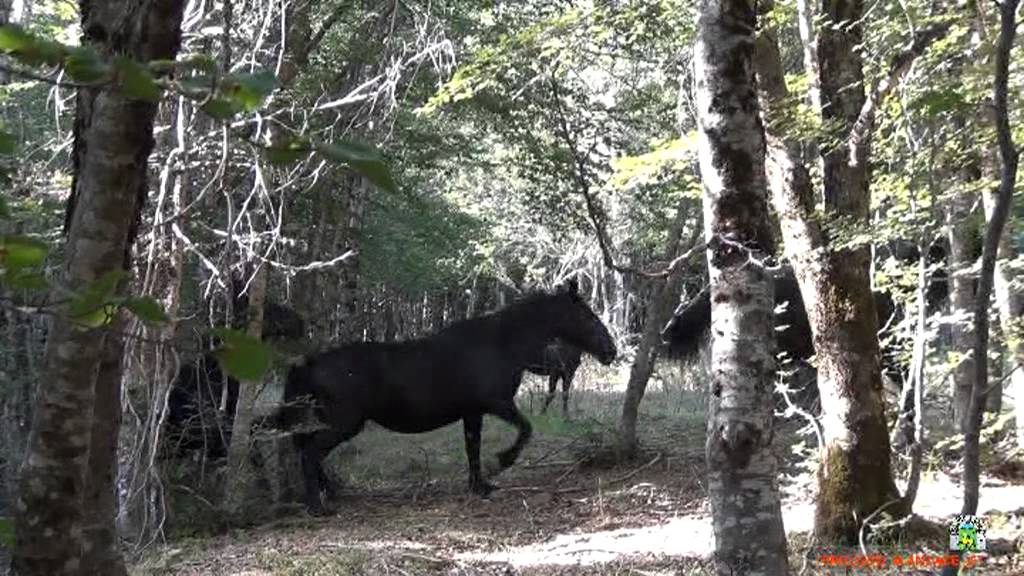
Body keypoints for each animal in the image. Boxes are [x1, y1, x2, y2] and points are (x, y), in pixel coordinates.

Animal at [267, 279, 616, 515]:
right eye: (587, 315)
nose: (611, 351)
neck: (503, 342)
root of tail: (309, 362)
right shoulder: (497, 403)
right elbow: (525, 429)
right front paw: (501, 462)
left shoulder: (473, 412)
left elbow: (472, 448)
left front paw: (480, 485)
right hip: (345, 423)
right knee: (310, 454)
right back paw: (318, 507)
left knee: (307, 450)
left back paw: (330, 494)